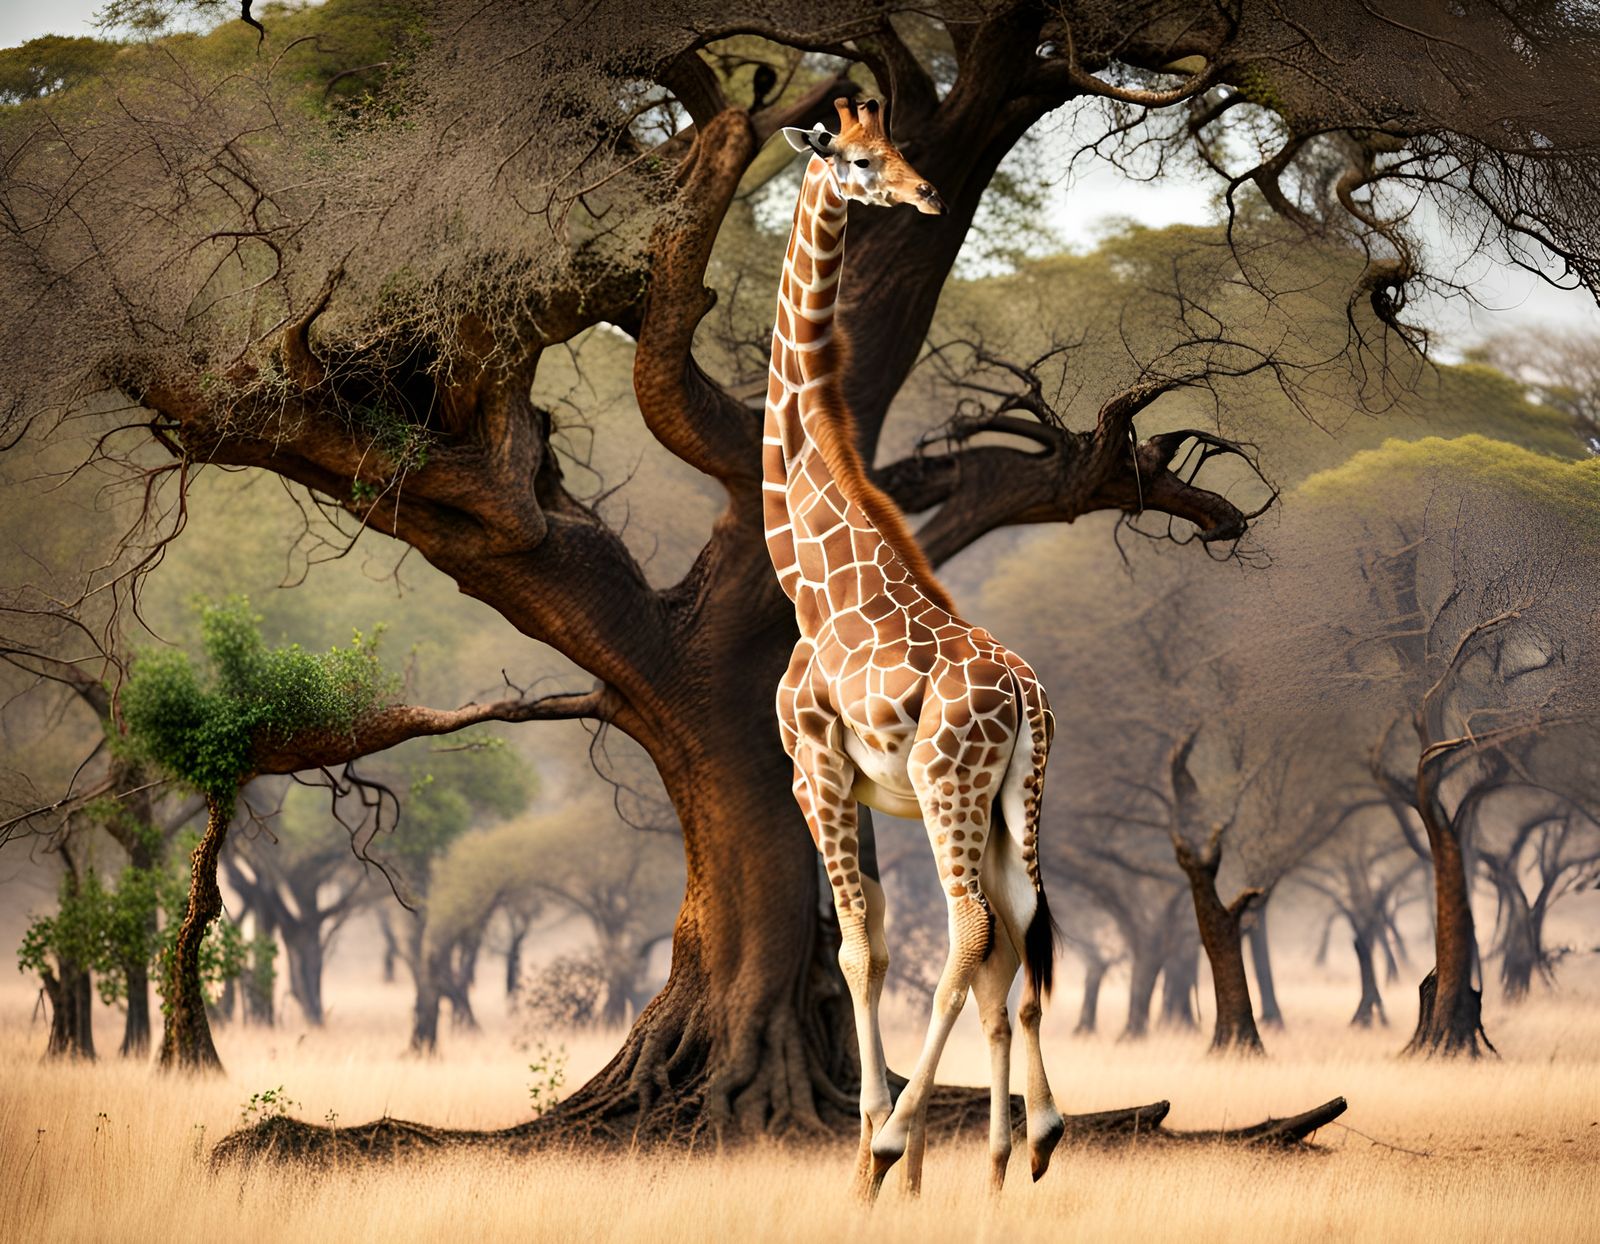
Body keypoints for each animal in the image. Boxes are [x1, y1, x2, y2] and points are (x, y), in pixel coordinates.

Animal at [765, 98, 1065, 1199]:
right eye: (861, 158)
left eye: (894, 149)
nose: (930, 193)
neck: (804, 573)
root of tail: (1023, 695)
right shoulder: (862, 786)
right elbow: (884, 943)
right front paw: (915, 1169)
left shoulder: (813, 767)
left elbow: (857, 949)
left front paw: (872, 1153)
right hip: (1008, 796)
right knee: (1016, 927)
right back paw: (1023, 1144)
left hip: (948, 782)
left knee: (975, 927)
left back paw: (904, 1139)